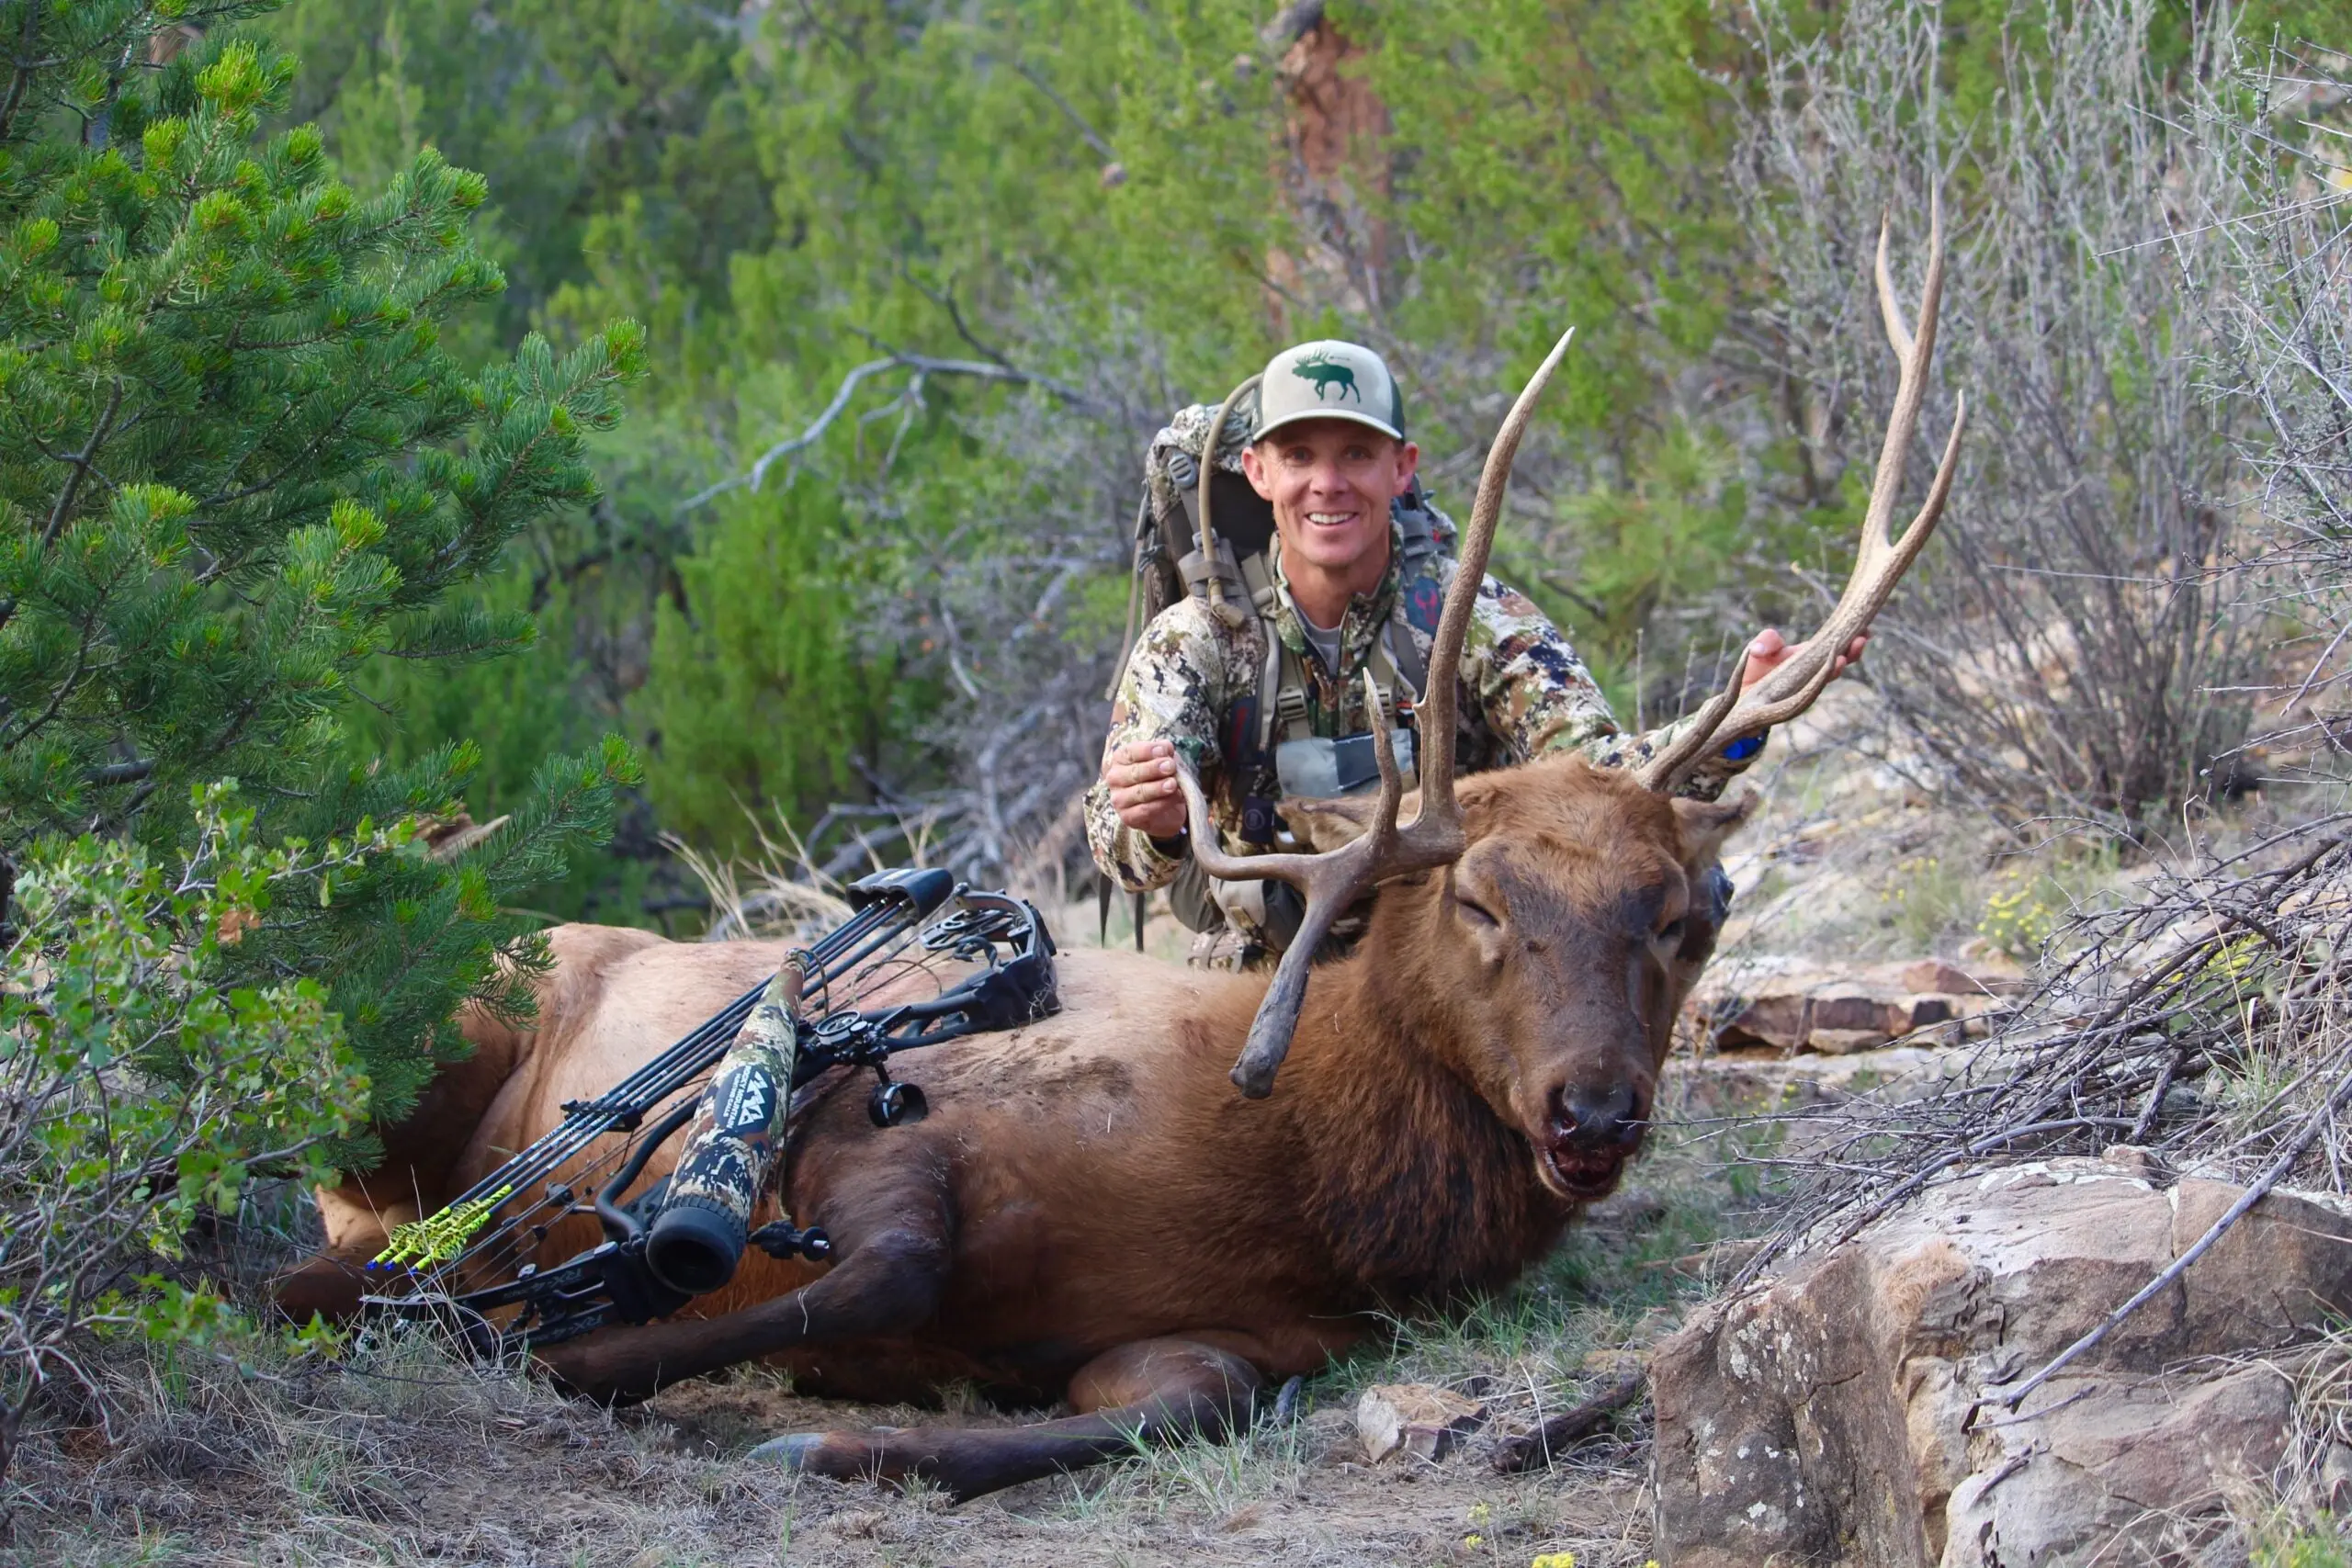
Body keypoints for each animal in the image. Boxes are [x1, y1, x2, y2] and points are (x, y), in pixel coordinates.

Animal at [279, 211, 1966, 1495]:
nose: (1594, 1106)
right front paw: (520, 1338)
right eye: (1484, 899)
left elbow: (1159, 1403)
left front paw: (830, 1440)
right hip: (429, 1034)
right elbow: (833, 1269)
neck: (1284, 1176)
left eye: (1682, 915)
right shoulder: (884, 1127)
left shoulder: (1229, 1336)